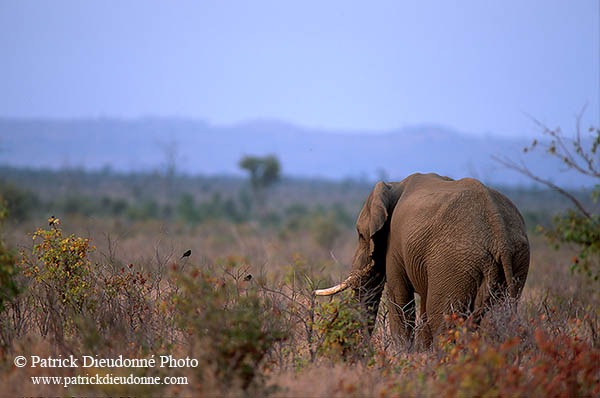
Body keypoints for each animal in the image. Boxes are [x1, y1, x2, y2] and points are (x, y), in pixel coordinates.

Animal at [316, 173, 528, 346]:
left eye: (361, 235)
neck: (393, 186)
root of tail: (499, 234)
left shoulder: (395, 244)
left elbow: (399, 298)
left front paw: (404, 355)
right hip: (515, 261)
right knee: (493, 320)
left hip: (453, 264)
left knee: (442, 321)